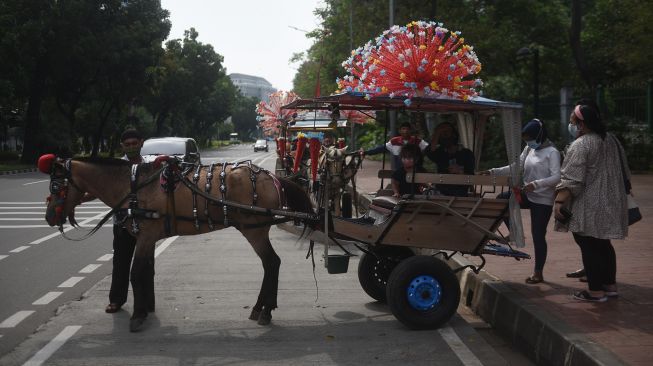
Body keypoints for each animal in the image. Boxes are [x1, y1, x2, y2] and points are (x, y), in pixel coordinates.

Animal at [40, 154, 316, 332]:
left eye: (55, 185)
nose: (49, 216)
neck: (133, 186)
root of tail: (272, 177)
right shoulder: (147, 238)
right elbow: (144, 272)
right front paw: (145, 310)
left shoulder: (146, 235)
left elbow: (136, 273)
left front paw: (137, 316)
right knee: (271, 264)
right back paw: (260, 308)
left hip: (255, 230)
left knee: (272, 263)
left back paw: (266, 311)